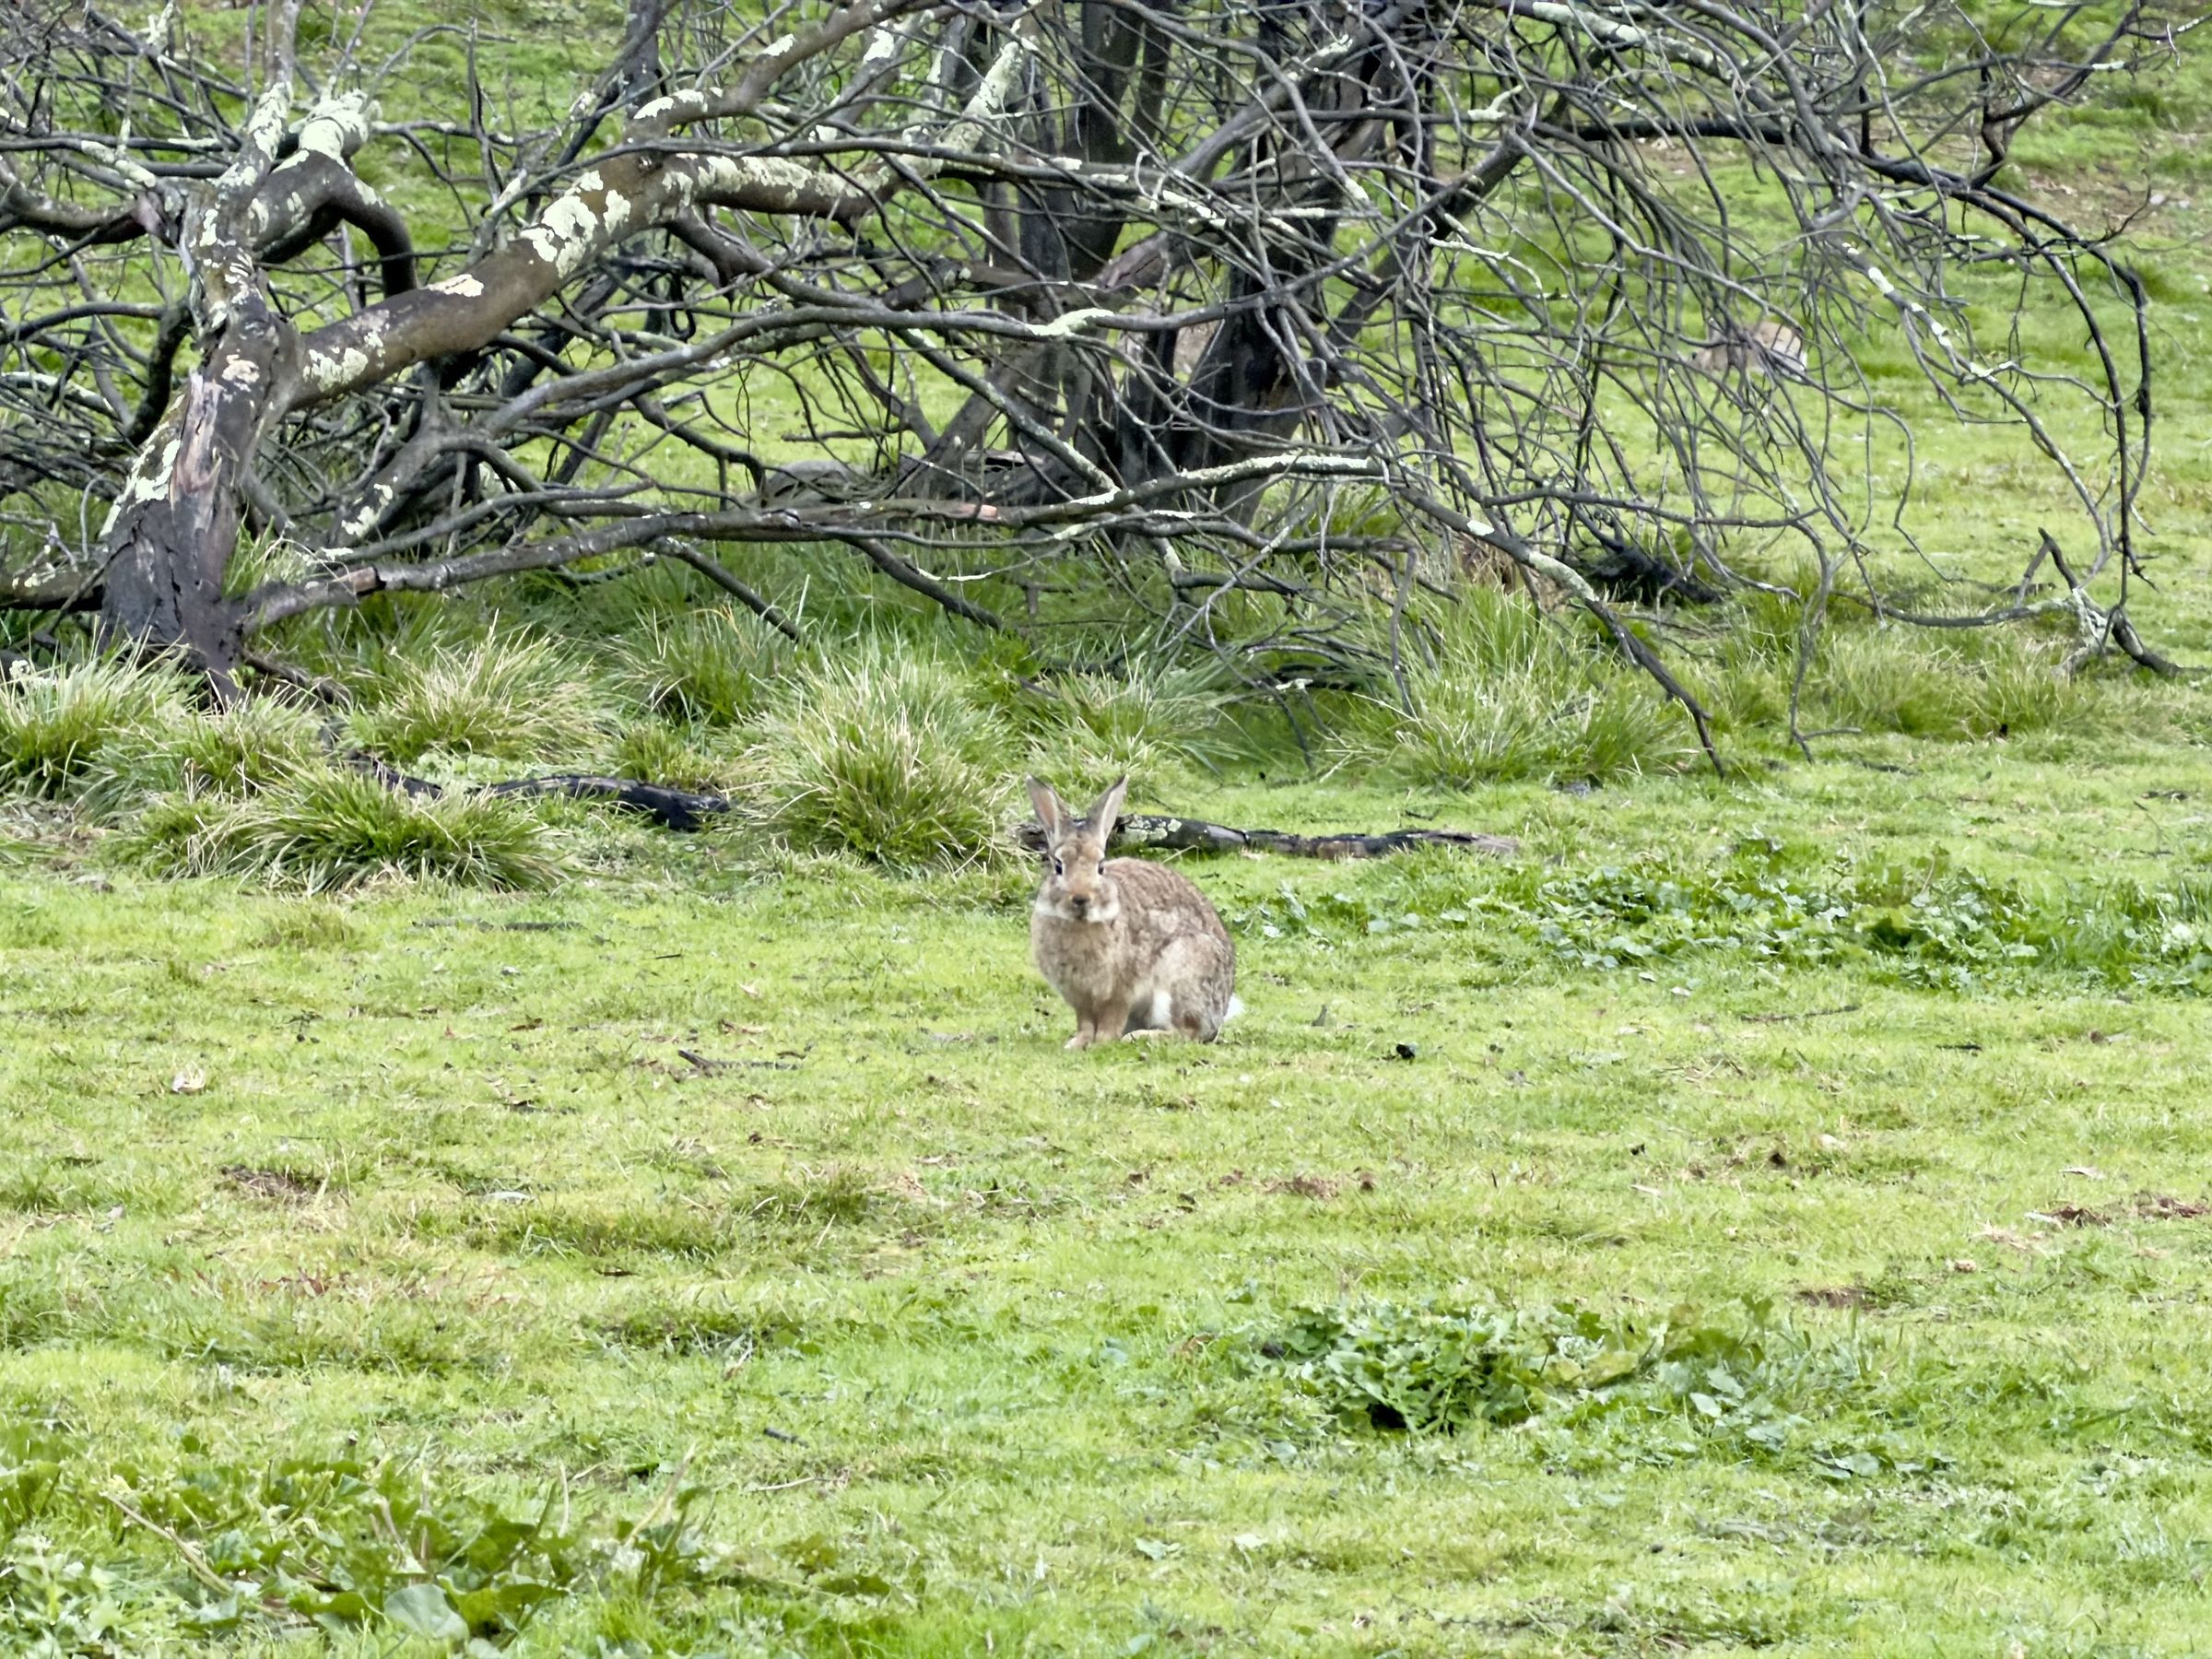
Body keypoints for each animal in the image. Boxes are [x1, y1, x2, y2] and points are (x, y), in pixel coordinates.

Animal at [1026, 775, 1240, 1049]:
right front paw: (1077, 1044)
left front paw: (1102, 1043)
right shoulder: (1080, 998)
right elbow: (1085, 1023)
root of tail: (1220, 1011)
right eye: (1058, 866)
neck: (1080, 922)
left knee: (1189, 1033)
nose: (1081, 898)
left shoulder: (1122, 991)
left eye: (1101, 867)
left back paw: (1140, 1037)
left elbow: (1111, 1020)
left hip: (1184, 973)